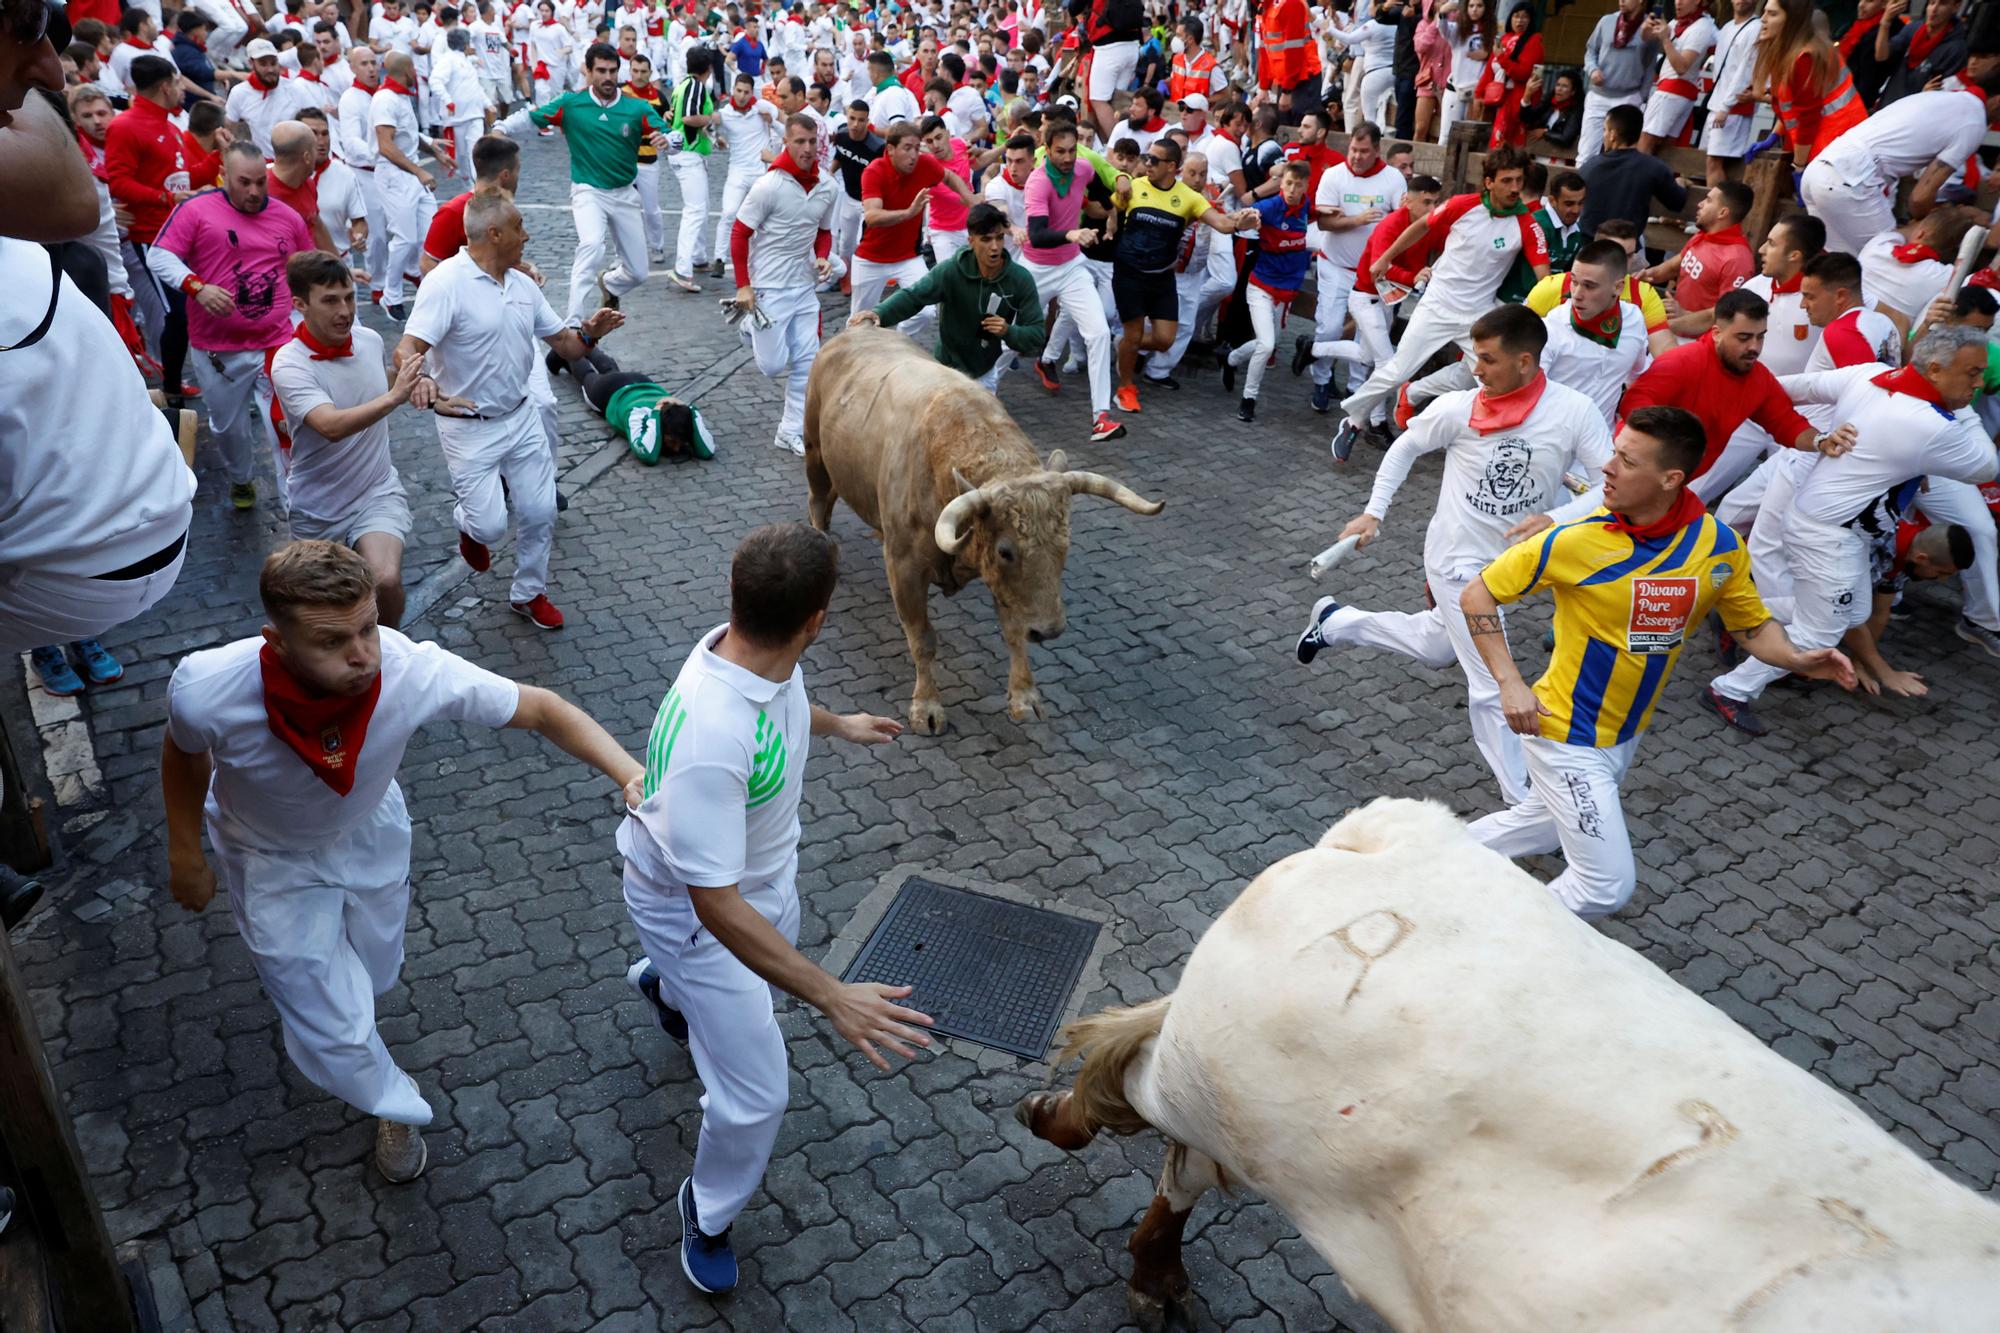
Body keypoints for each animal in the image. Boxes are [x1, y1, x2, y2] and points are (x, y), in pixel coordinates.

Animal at [800, 326, 1168, 732]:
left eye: (1064, 545)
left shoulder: (1006, 585)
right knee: (819, 502)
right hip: (815, 451)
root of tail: (862, 325)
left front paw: (1025, 697)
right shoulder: (904, 565)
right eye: (1006, 550)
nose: (1050, 630)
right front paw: (927, 705)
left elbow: (1014, 631)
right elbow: (922, 638)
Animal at [1016, 792, 2000, 1320]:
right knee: (1139, 1084)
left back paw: (1153, 1265)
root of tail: (1401, 835)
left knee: (1179, 1150)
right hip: (1235, 1087)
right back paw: (1062, 1121)